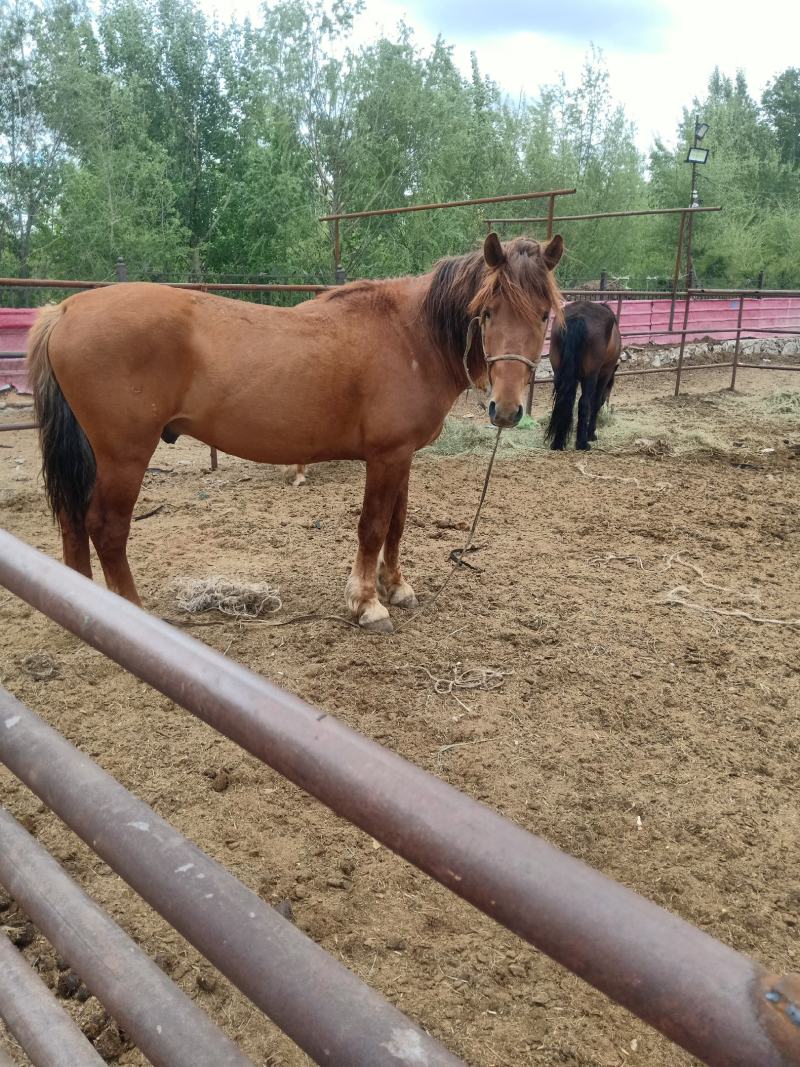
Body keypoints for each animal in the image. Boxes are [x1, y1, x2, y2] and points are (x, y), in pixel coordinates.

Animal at [27, 232, 563, 632]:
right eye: (487, 311)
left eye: (544, 314)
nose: (506, 410)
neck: (411, 334)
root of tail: (65, 311)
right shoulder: (386, 456)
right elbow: (373, 526)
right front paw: (366, 604)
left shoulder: (403, 456)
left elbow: (396, 524)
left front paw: (395, 587)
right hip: (124, 455)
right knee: (106, 527)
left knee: (73, 521)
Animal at [545, 300, 621, 451]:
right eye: (610, 387)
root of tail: (578, 316)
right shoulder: (604, 374)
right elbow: (595, 402)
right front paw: (591, 434)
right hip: (590, 376)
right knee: (584, 403)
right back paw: (582, 443)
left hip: (558, 372)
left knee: (563, 400)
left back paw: (557, 442)